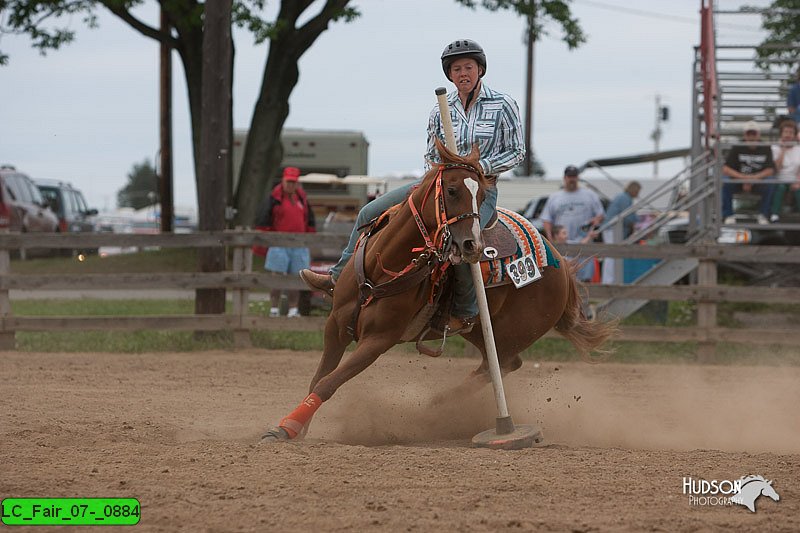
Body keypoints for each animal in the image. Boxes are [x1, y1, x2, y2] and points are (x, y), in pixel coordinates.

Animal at [262, 137, 620, 440]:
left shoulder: (378, 341)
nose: (472, 245)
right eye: (450, 190)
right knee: (501, 364)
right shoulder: (336, 326)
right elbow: (318, 378)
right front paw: (297, 429)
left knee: (501, 365)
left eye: (480, 194)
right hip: (480, 329)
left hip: (513, 330)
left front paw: (287, 428)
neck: (382, 266)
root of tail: (561, 267)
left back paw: (436, 409)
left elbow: (329, 382)